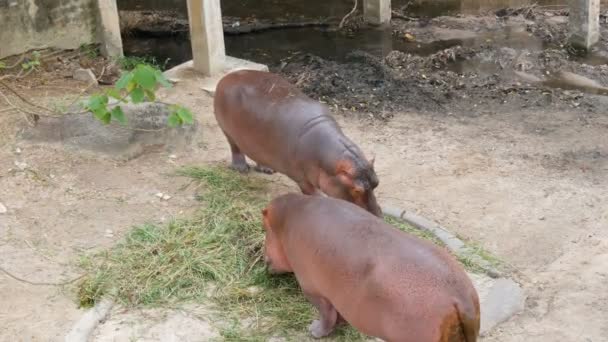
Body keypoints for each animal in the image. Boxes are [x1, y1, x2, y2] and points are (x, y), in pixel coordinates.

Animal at [214, 69, 380, 216]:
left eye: (376, 182)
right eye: (357, 190)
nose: (377, 216)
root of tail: (226, 77)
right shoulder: (300, 176)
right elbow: (311, 192)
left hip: (256, 139)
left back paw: (267, 169)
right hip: (227, 130)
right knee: (235, 148)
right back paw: (241, 168)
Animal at [262, 194, 480, 340]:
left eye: (264, 229)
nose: (263, 259)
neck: (286, 219)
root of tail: (459, 298)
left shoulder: (313, 289)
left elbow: (326, 314)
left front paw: (314, 330)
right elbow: (338, 313)